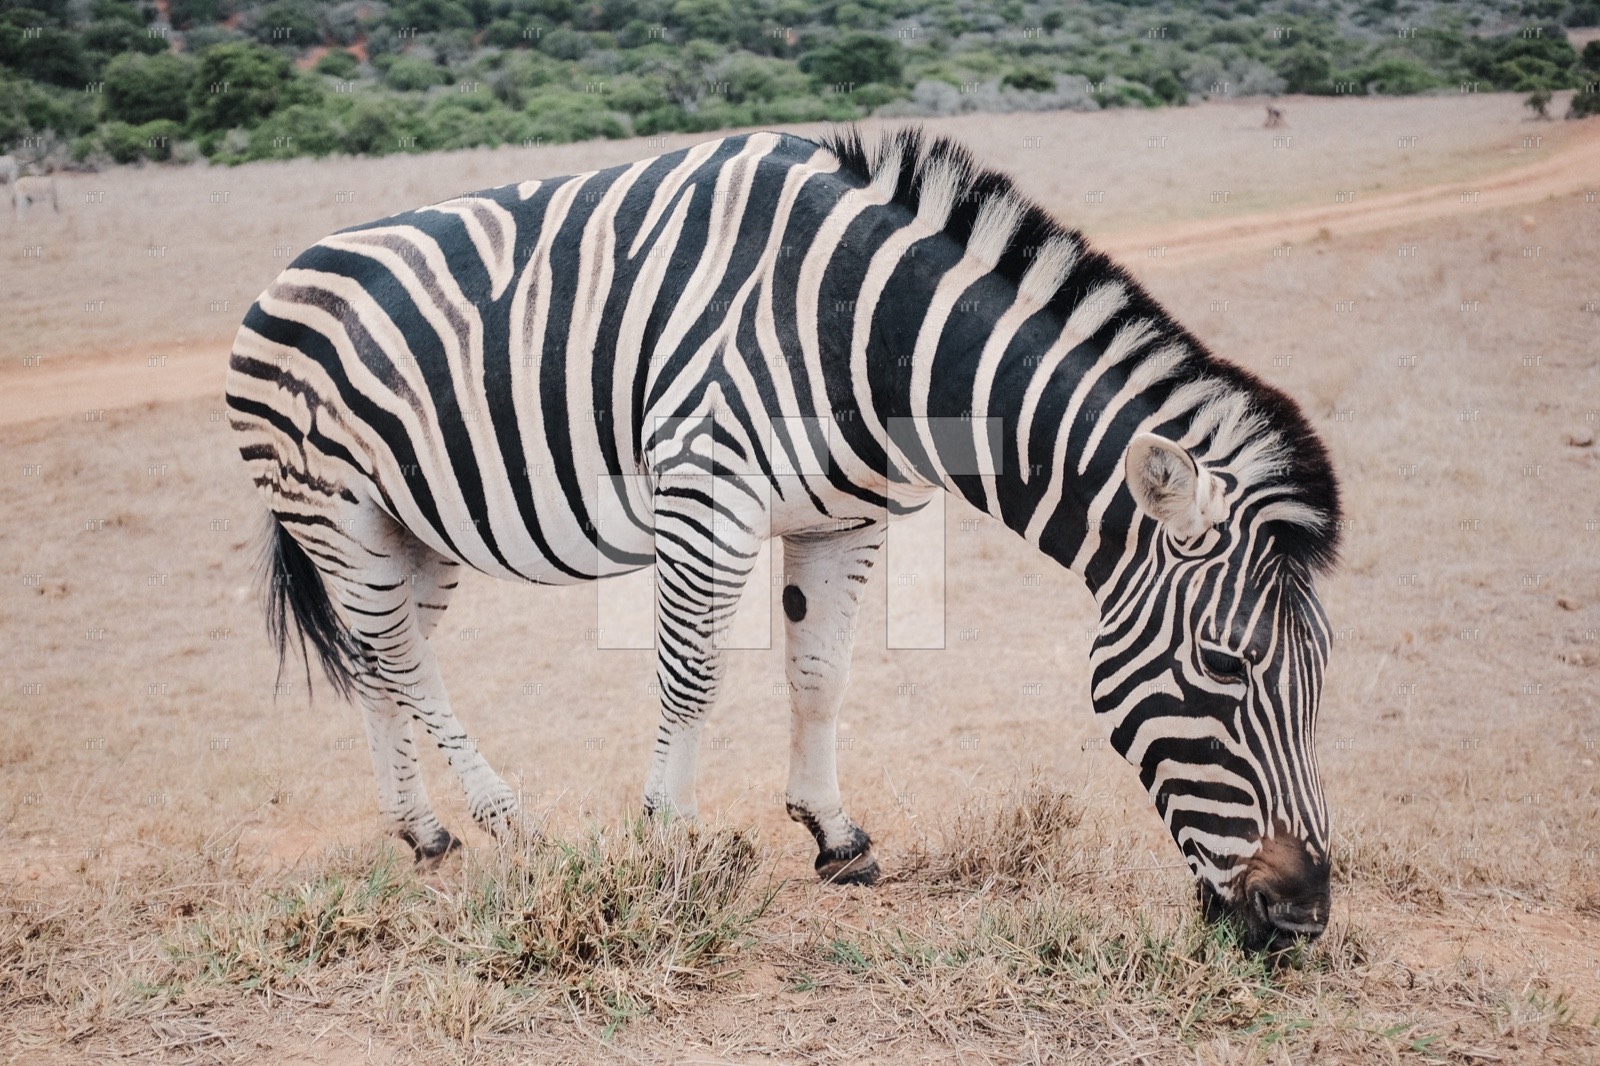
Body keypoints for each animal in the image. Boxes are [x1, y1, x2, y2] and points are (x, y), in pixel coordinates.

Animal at [226, 127, 1341, 950]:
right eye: (1225, 664)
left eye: (1317, 674)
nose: (1303, 916)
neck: (873, 335)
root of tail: (282, 274)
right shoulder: (705, 493)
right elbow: (690, 679)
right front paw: (668, 847)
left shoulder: (845, 516)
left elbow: (820, 672)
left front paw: (833, 834)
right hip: (335, 510)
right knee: (403, 660)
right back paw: (506, 819)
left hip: (411, 531)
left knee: (381, 658)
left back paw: (425, 833)